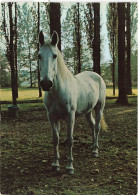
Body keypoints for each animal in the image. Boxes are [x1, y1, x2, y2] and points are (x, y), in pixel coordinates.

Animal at [38, 30, 107, 175]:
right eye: (39, 55)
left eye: (55, 55)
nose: (46, 83)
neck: (57, 91)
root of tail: (97, 76)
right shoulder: (52, 117)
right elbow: (55, 139)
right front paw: (55, 164)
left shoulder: (70, 116)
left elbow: (70, 140)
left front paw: (70, 167)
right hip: (88, 111)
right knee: (92, 126)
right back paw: (92, 146)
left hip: (99, 108)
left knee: (97, 127)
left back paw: (95, 151)